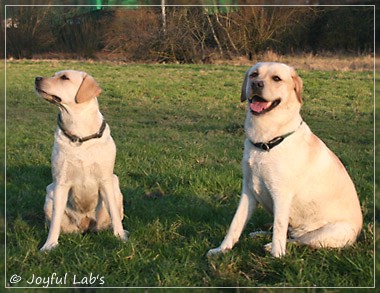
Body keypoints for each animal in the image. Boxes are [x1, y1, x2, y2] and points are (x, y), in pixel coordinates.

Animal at [34, 69, 126, 250]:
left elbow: (113, 213)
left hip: (115, 186)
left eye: (64, 77)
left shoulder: (105, 180)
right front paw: (49, 245)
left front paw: (120, 236)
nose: (37, 78)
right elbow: (55, 220)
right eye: (54, 75)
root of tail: (85, 225)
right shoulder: (61, 183)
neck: (80, 134)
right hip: (50, 192)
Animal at [208, 61, 362, 256]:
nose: (256, 84)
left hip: (330, 231)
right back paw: (259, 234)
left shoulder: (281, 194)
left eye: (276, 78)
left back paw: (270, 246)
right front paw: (221, 249)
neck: (265, 142)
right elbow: (235, 224)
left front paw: (277, 256)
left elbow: (279, 227)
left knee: (299, 240)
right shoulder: (248, 191)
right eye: (254, 74)